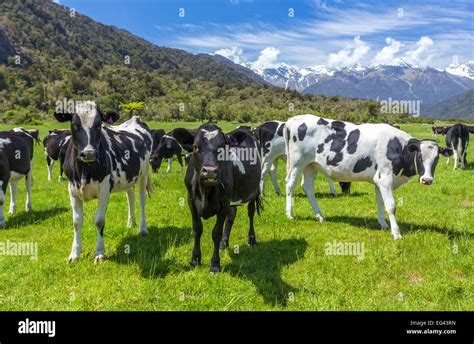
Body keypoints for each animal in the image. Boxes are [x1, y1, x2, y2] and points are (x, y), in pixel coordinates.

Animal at [54, 101, 153, 262]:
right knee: (130, 196)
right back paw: (131, 223)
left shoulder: (105, 190)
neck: (84, 170)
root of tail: (135, 119)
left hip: (143, 173)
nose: (89, 153)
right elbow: (76, 221)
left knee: (142, 200)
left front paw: (99, 253)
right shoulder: (72, 189)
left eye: (99, 124)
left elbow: (99, 220)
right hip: (129, 177)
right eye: (75, 124)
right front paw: (74, 254)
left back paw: (142, 229)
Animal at [182, 123, 262, 272]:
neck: (205, 191)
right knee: (231, 216)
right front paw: (195, 260)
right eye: (195, 147)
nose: (210, 172)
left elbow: (216, 233)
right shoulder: (191, 202)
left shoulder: (223, 204)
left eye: (223, 148)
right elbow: (197, 230)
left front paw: (215, 265)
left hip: (254, 190)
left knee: (251, 212)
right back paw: (224, 244)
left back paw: (251, 238)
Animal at [284, 115, 450, 239]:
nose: (427, 180)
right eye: (420, 157)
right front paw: (396, 233)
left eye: (436, 159)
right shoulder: (385, 178)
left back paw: (320, 216)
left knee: (307, 187)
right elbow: (391, 206)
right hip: (297, 162)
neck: (398, 147)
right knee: (290, 184)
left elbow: (380, 202)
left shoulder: (379, 180)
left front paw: (383, 224)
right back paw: (290, 214)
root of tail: (292, 120)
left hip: (311, 165)